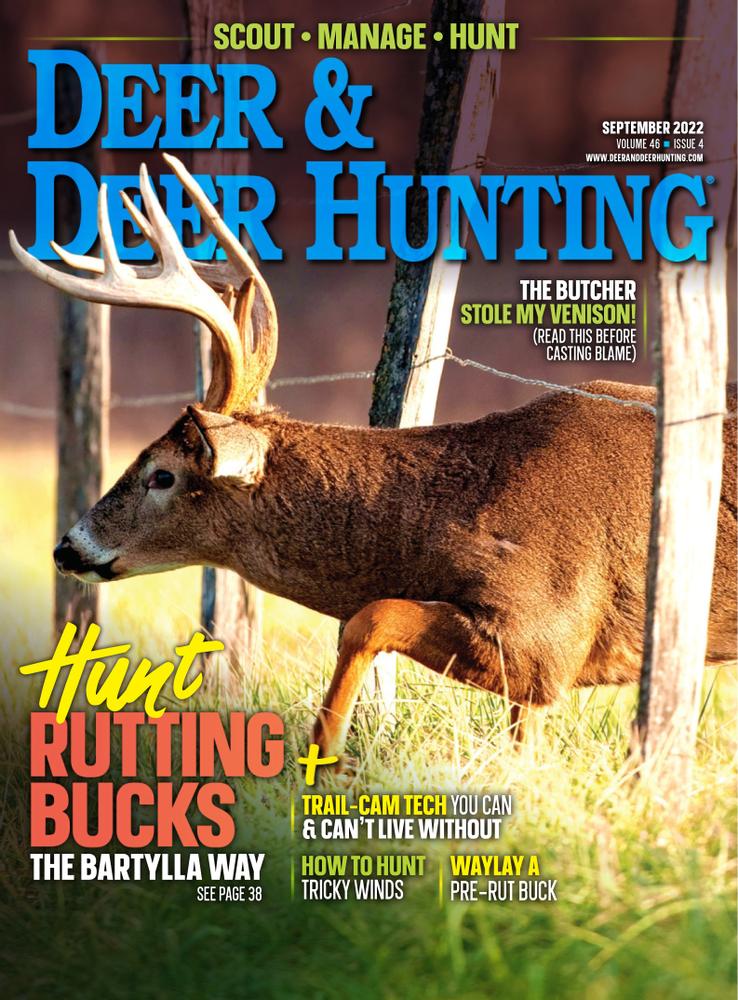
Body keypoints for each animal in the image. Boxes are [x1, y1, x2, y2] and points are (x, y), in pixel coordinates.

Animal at [10, 154, 737, 764]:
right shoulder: (534, 673)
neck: (467, 514)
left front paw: (322, 751)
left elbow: (369, 615)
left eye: (162, 473)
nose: (69, 545)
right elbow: (519, 747)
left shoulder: (548, 631)